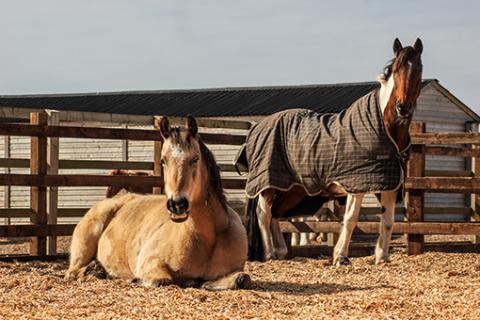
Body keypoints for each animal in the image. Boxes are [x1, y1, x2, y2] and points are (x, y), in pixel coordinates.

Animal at [65, 116, 249, 292]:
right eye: (163, 161)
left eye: (195, 159)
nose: (177, 205)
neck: (209, 237)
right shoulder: (150, 261)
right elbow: (162, 280)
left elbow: (241, 278)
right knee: (72, 272)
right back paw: (96, 270)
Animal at [237, 38, 424, 266]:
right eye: (395, 71)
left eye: (418, 70)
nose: (403, 108)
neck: (385, 129)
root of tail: (257, 127)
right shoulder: (356, 184)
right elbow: (350, 219)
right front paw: (340, 257)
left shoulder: (389, 185)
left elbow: (387, 222)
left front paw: (382, 258)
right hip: (268, 185)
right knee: (263, 215)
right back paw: (270, 254)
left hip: (292, 189)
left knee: (275, 214)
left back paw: (281, 252)